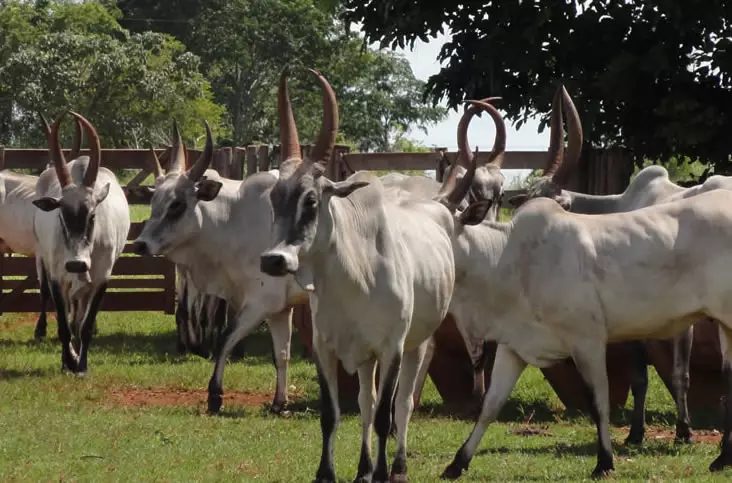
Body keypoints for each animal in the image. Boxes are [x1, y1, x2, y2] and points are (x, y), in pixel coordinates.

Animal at [33, 112, 130, 374]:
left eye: (92, 215)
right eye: (61, 215)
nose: (76, 264)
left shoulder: (101, 278)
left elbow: (85, 325)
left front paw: (82, 364)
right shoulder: (57, 277)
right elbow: (63, 326)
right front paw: (68, 361)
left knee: (78, 317)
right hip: (43, 261)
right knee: (55, 304)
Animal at [133, 123, 302, 414]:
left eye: (177, 204)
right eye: (154, 202)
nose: (141, 244)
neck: (235, 220)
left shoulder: (260, 302)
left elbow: (224, 339)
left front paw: (214, 395)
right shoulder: (280, 308)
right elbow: (281, 354)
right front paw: (280, 403)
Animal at [260, 68, 478, 483]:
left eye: (311, 200)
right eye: (273, 199)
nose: (273, 260)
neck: (352, 280)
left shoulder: (392, 348)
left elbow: (383, 416)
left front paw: (381, 472)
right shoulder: (326, 349)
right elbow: (334, 414)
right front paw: (327, 473)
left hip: (416, 345)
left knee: (402, 404)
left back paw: (397, 466)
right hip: (365, 357)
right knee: (366, 400)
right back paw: (363, 468)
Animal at [438, 102, 732, 480]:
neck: (509, 257)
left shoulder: (588, 340)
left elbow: (599, 401)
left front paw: (605, 461)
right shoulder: (514, 344)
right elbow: (490, 405)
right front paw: (457, 463)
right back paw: (722, 458)